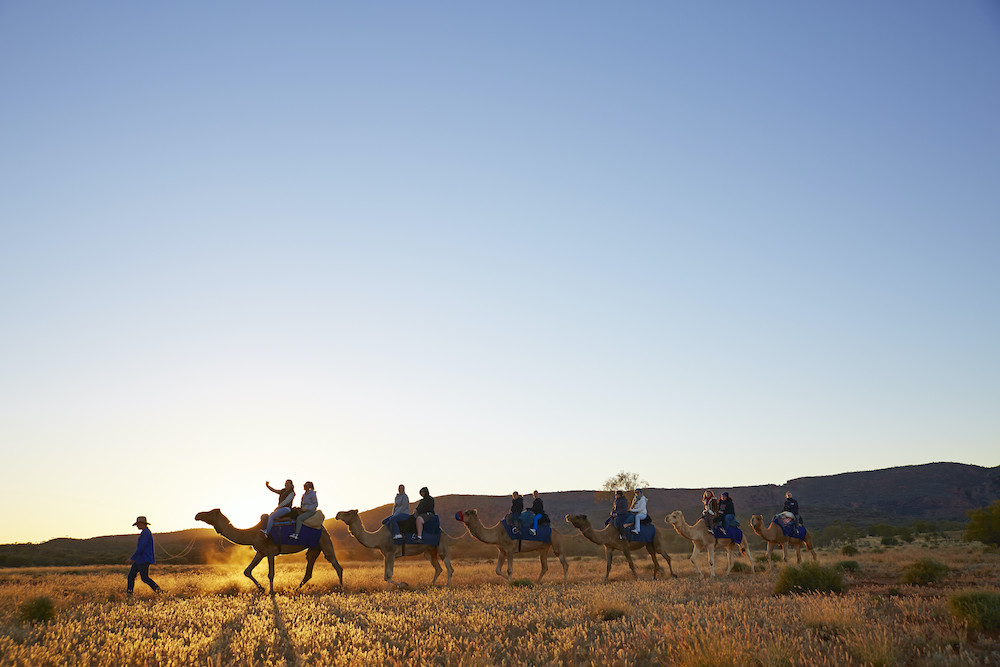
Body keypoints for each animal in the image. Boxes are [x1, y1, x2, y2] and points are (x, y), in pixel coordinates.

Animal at [194, 508, 344, 596]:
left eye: (210, 512)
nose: (197, 515)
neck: (252, 534)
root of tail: (323, 527)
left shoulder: (271, 552)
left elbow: (271, 574)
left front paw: (271, 592)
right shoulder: (260, 552)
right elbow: (247, 571)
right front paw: (261, 589)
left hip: (324, 541)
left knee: (336, 565)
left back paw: (341, 589)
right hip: (314, 548)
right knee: (309, 569)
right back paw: (295, 590)